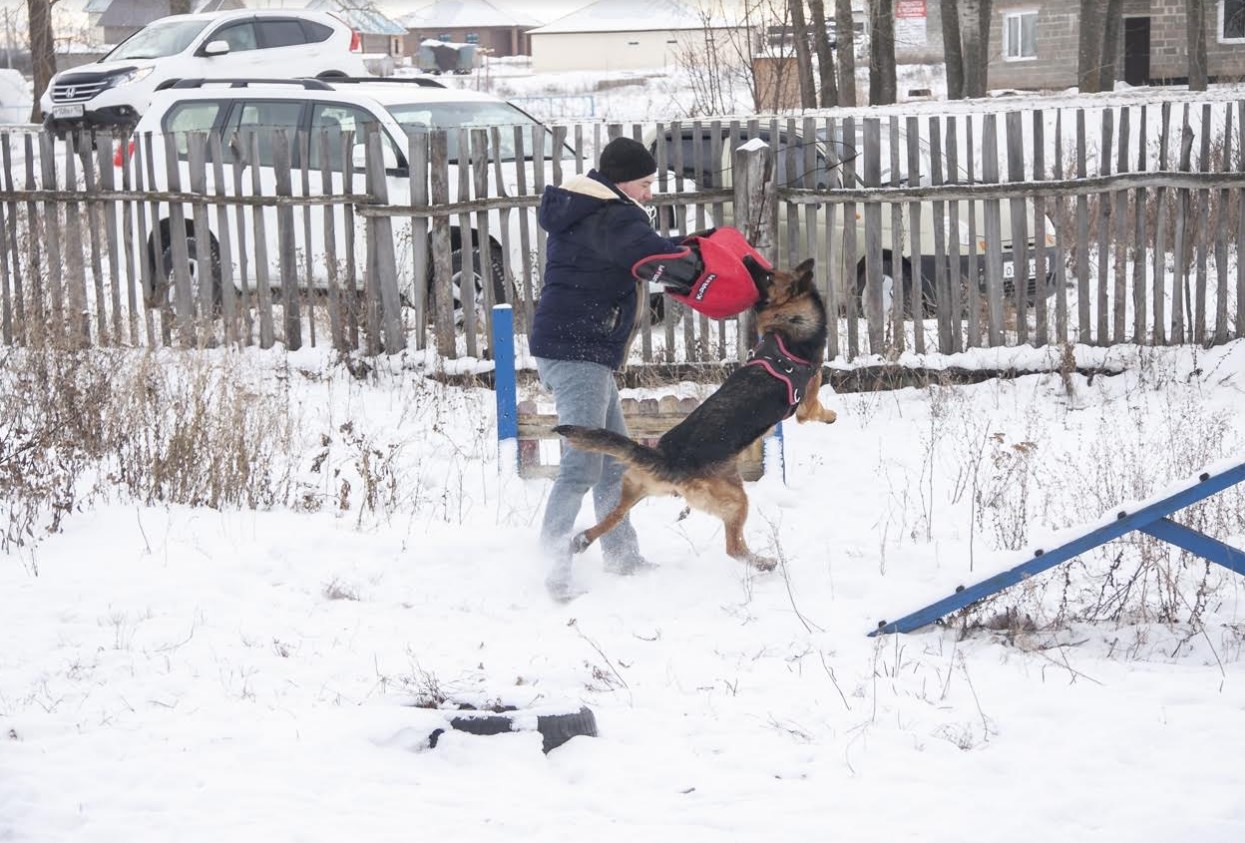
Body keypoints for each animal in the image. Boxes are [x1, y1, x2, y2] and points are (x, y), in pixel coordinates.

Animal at [555, 255, 836, 572]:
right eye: (767, 275)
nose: (747, 258)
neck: (787, 326)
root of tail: (667, 458)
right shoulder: (807, 403)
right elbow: (817, 409)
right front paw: (832, 416)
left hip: (635, 486)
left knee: (613, 517)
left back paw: (582, 540)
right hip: (736, 499)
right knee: (733, 547)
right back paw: (763, 563)